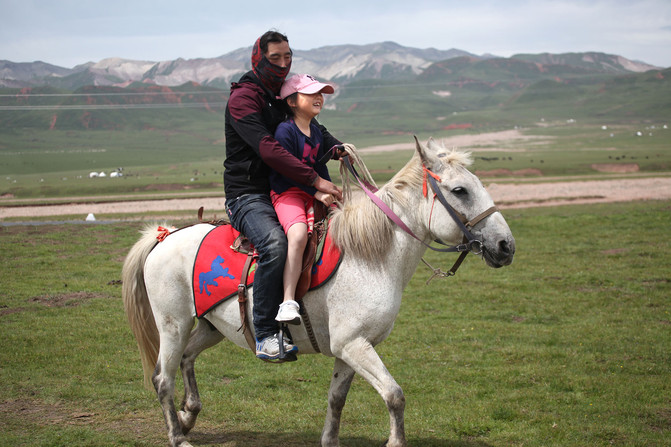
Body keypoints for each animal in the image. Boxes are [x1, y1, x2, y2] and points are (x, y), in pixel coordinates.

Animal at [123, 137, 516, 447]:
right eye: (460, 190)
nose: (506, 246)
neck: (370, 257)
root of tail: (164, 236)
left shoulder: (350, 348)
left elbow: (336, 399)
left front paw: (330, 440)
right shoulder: (354, 344)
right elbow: (394, 395)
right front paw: (395, 441)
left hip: (209, 327)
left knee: (187, 360)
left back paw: (188, 415)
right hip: (173, 325)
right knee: (163, 378)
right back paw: (178, 436)